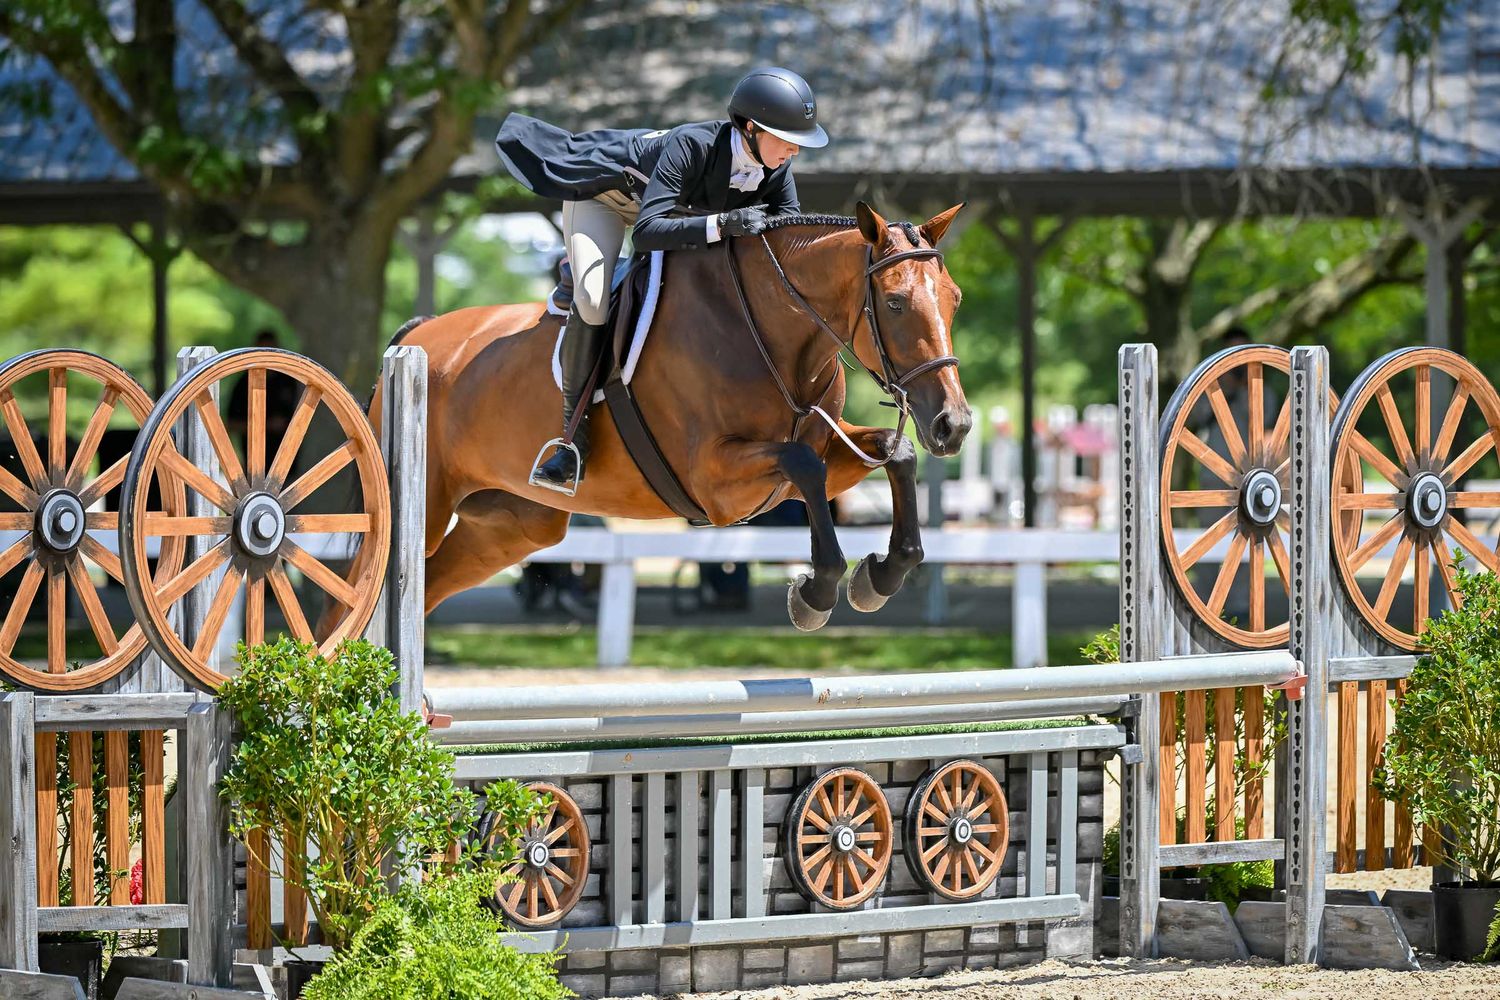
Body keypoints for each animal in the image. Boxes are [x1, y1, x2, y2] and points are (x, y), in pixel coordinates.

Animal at [364, 201, 971, 631]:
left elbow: (894, 452)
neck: (774, 333)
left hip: (510, 525)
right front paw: (815, 594)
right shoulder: (716, 483)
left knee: (428, 588)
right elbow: (804, 463)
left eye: (955, 299)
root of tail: (420, 334)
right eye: (894, 303)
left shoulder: (822, 449)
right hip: (427, 505)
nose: (955, 424)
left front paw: (880, 576)